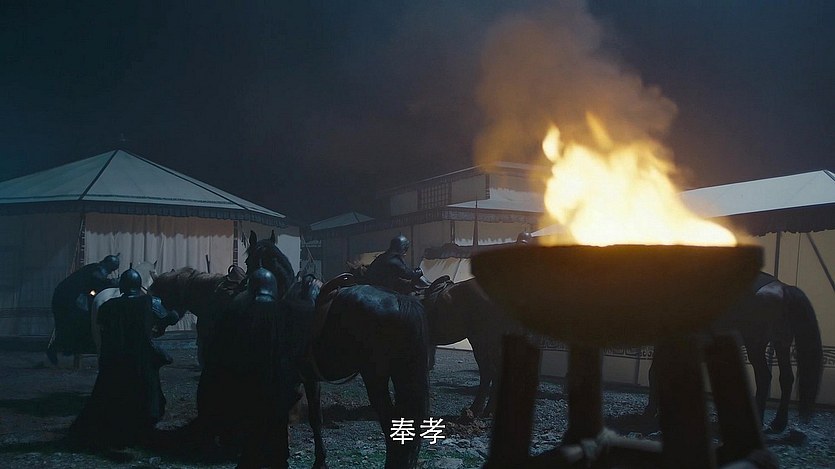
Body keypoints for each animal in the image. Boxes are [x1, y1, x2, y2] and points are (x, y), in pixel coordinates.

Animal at [241, 230, 430, 469]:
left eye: (248, 261)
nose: (243, 286)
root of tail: (399, 300)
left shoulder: (298, 377)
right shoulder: (311, 378)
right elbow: (315, 418)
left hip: (375, 378)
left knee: (390, 423)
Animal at [646, 272, 823, 433]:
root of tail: (784, 288)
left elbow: (655, 373)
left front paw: (651, 412)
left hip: (755, 345)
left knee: (764, 377)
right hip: (781, 344)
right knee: (786, 378)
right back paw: (779, 423)